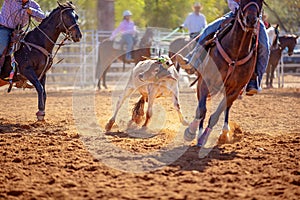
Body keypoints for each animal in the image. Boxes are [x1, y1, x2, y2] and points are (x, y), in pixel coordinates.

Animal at [180, 0, 262, 147]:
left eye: (261, 2)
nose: (251, 20)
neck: (236, 53)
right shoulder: (205, 81)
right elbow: (201, 110)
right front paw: (191, 132)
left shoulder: (235, 90)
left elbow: (216, 115)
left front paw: (204, 137)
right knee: (202, 107)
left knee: (226, 108)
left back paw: (224, 132)